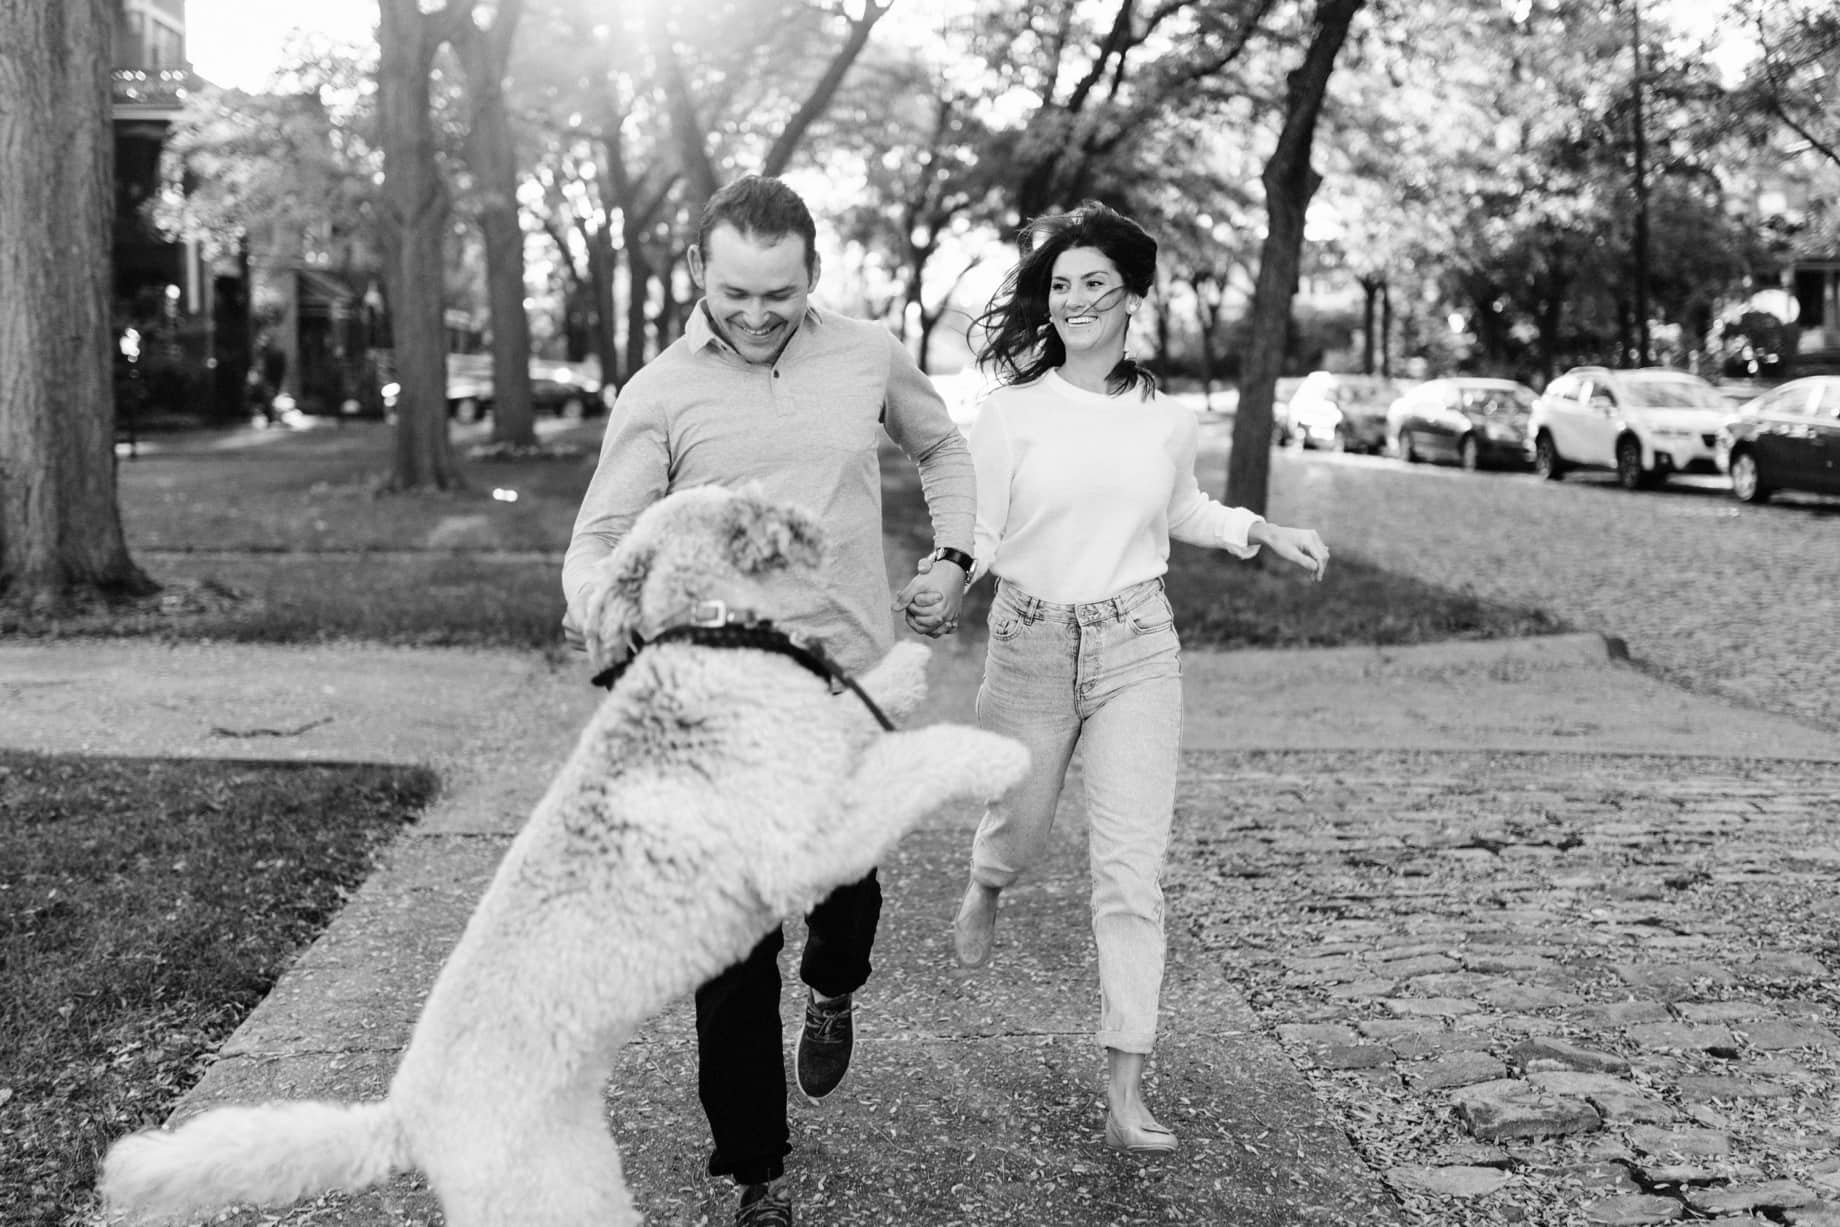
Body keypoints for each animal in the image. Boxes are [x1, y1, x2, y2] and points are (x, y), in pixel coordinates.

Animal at [100, 485, 1030, 1221]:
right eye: (740, 498)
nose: (806, 519)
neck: (705, 635)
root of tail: (404, 1118)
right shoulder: (807, 839)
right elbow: (918, 761)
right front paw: (997, 756)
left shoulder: (822, 751)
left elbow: (867, 706)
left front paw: (911, 659)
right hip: (555, 1192)